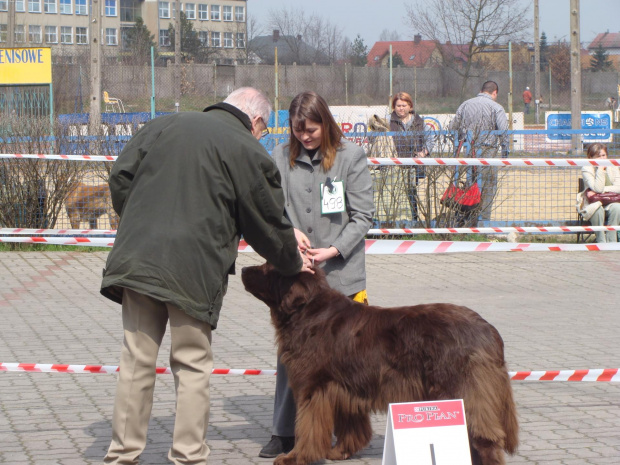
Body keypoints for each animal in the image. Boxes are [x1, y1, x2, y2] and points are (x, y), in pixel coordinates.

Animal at [242, 262, 520, 462]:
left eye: (267, 267)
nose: (243, 269)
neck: (307, 312)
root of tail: (488, 329)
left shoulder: (314, 387)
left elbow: (308, 427)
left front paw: (295, 457)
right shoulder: (343, 386)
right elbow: (349, 423)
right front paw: (339, 452)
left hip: (462, 391)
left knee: (485, 439)